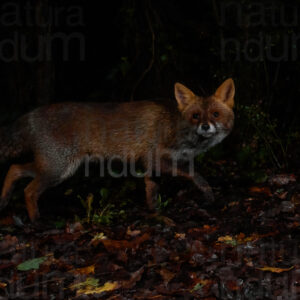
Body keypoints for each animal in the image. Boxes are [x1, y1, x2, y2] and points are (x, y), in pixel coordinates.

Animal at [0, 78, 234, 221]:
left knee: (14, 168)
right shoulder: (157, 160)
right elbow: (196, 175)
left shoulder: (150, 168)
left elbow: (152, 193)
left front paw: (155, 214)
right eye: (196, 116)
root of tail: (31, 113)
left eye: (215, 114)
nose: (205, 127)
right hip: (57, 169)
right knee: (29, 190)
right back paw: (36, 220)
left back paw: (4, 200)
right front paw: (208, 195)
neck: (176, 126)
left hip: (56, 167)